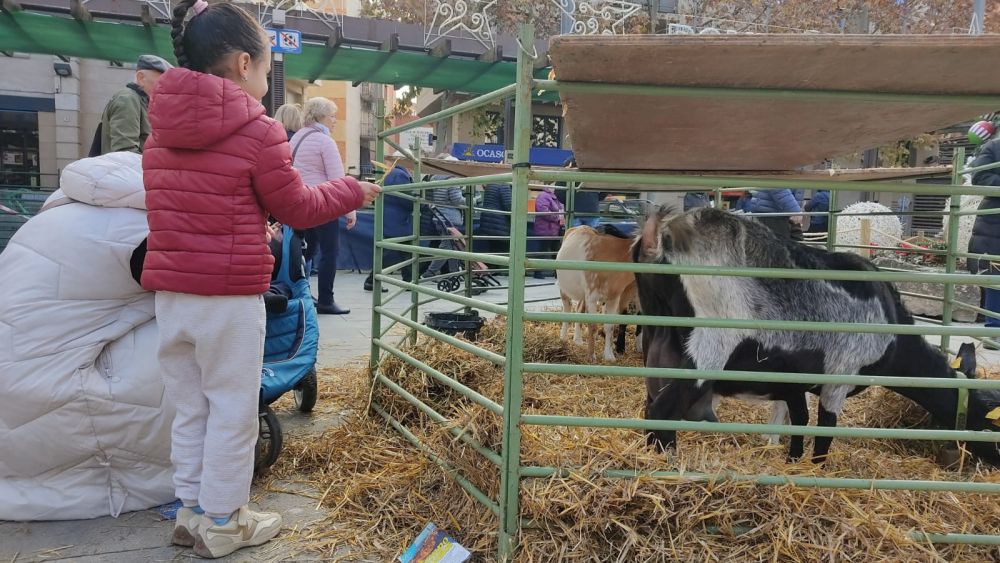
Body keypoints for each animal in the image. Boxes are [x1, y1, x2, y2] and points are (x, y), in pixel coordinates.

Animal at [557, 225, 638, 362]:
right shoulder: (591, 296)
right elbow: (593, 325)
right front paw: (591, 356)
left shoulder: (614, 297)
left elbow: (610, 327)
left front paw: (609, 356)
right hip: (564, 288)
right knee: (567, 308)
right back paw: (562, 338)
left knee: (579, 309)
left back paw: (578, 340)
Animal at [637, 206, 1000, 465]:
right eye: (992, 424)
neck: (891, 326)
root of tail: (660, 238)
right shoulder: (839, 375)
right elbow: (824, 431)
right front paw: (815, 469)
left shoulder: (794, 380)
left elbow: (799, 420)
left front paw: (792, 461)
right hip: (709, 348)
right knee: (663, 412)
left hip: (657, 346)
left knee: (651, 406)